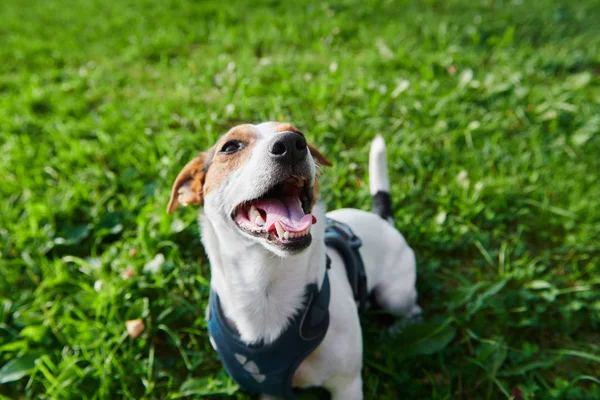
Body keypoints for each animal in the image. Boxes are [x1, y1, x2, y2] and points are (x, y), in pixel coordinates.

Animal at [166, 122, 420, 400]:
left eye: (299, 133)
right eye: (230, 146)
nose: (291, 144)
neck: (264, 286)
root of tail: (382, 220)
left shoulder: (347, 385)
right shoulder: (270, 391)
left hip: (394, 296)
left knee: (413, 309)